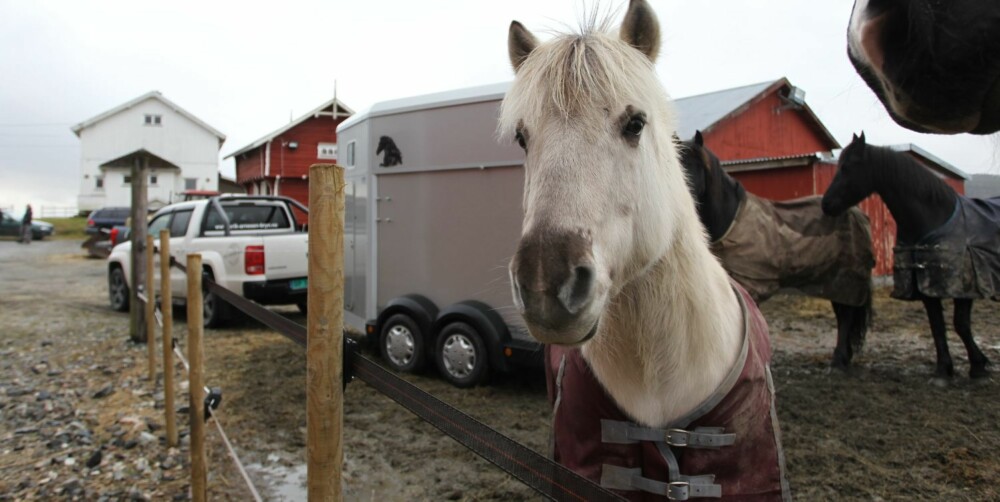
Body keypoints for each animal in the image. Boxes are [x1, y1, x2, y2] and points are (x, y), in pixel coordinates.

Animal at [680, 132, 876, 368]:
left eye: (691, 166)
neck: (732, 220)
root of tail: (858, 213)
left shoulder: (751, 286)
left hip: (846, 279)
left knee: (845, 315)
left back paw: (839, 360)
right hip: (835, 282)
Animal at [820, 132, 992, 376]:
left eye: (848, 167)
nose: (826, 204)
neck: (934, 218)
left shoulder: (963, 286)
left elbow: (960, 324)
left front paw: (978, 365)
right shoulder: (924, 283)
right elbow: (937, 324)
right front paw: (944, 369)